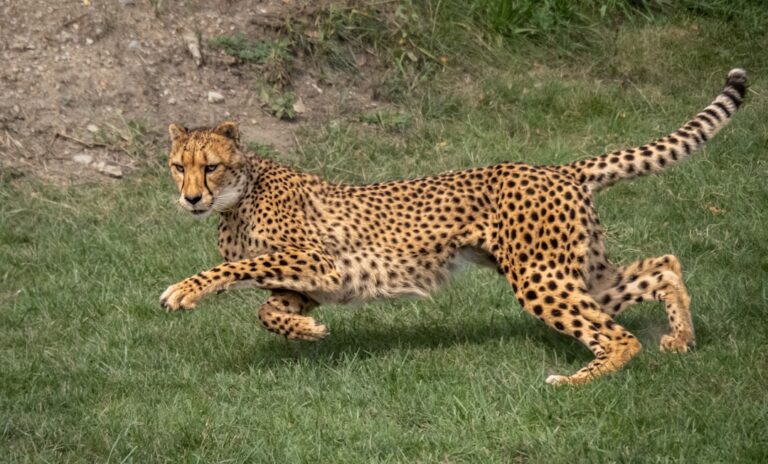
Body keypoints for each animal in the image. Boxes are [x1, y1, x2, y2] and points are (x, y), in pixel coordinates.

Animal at [160, 69, 747, 385]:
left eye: (209, 166)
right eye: (176, 166)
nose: (190, 198)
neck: (237, 196)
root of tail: (555, 168)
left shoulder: (319, 263)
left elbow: (231, 272)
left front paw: (182, 292)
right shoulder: (314, 281)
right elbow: (267, 309)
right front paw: (306, 331)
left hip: (541, 278)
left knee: (620, 335)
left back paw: (577, 381)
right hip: (578, 271)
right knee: (663, 265)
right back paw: (681, 337)